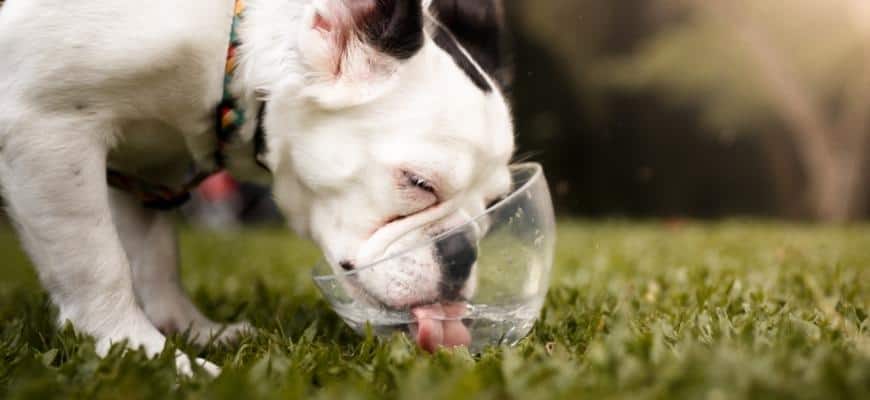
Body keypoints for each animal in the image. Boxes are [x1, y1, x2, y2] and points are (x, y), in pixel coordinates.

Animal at [0, 0, 516, 374]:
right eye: (418, 183)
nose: (462, 252)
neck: (234, 55)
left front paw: (183, 329)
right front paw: (140, 350)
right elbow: (98, 267)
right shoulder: (47, 129)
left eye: (493, 205)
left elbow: (155, 255)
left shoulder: (148, 171)